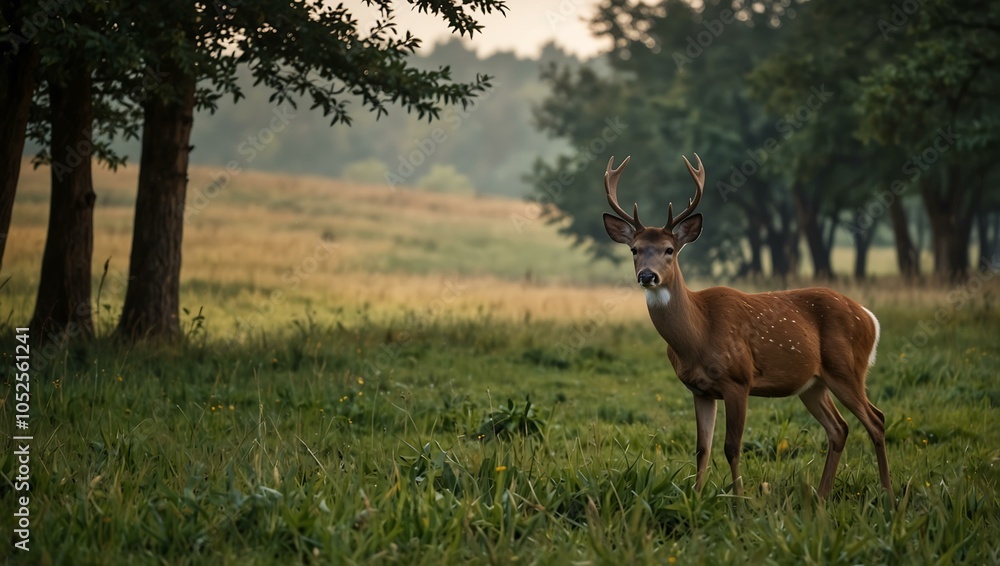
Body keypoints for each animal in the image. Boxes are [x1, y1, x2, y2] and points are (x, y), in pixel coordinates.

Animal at [601, 154, 892, 499]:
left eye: (669, 250)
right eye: (634, 249)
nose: (647, 275)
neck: (697, 336)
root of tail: (870, 317)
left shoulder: (738, 379)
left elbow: (731, 447)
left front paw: (739, 501)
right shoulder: (699, 390)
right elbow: (702, 448)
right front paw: (696, 499)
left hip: (847, 369)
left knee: (876, 419)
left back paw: (889, 495)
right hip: (813, 383)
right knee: (839, 428)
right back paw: (822, 496)